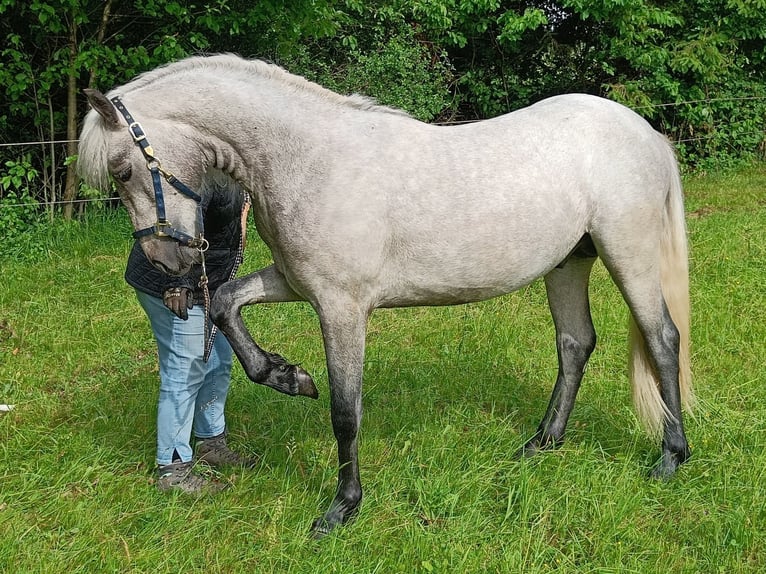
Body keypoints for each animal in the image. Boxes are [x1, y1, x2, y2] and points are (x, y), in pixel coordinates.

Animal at [77, 54, 693, 538]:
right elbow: (227, 300)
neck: (307, 159)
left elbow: (345, 412)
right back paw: (543, 444)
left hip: (629, 254)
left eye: (123, 169)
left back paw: (670, 458)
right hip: (568, 263)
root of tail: (646, 133)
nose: (166, 262)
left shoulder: (342, 309)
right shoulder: (295, 283)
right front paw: (286, 375)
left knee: (663, 339)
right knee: (575, 344)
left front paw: (342, 509)